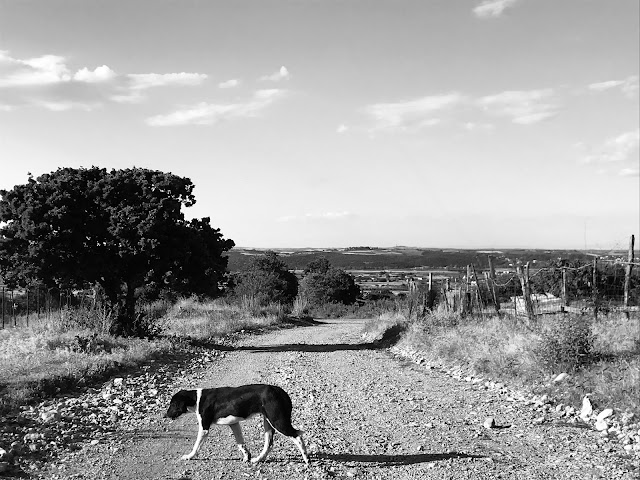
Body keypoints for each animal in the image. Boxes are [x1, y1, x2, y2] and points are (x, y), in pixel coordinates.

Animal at [166, 382, 308, 464]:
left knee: (297, 436)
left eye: (172, 404)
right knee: (269, 444)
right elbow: (241, 443)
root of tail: (281, 392)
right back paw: (258, 459)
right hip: (268, 423)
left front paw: (189, 456)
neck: (196, 399)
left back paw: (307, 460)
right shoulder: (234, 424)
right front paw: (247, 457)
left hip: (277, 421)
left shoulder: (204, 428)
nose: (165, 415)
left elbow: (196, 446)